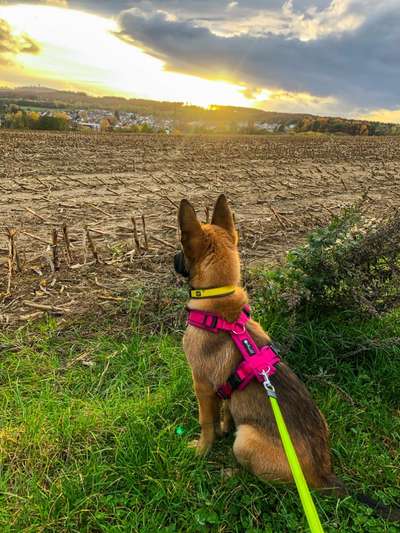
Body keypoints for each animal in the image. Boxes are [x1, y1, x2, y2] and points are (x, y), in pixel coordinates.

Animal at [175, 192, 400, 520]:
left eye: (180, 246)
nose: (171, 259)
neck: (219, 304)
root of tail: (323, 473)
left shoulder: (201, 385)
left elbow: (206, 421)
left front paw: (202, 449)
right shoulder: (221, 389)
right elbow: (227, 408)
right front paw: (224, 427)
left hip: (246, 441)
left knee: (270, 484)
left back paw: (232, 474)